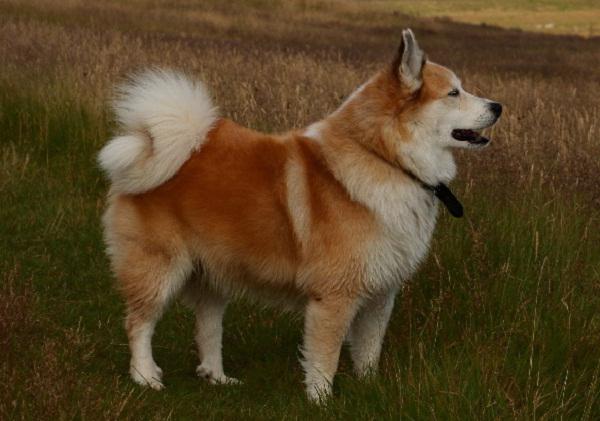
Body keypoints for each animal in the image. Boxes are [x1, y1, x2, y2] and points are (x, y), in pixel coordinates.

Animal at [98, 28, 502, 400]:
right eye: (453, 93)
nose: (497, 106)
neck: (383, 157)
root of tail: (149, 142)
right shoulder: (334, 296)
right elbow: (325, 357)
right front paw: (321, 400)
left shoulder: (379, 294)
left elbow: (369, 349)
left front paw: (368, 388)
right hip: (158, 267)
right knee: (138, 323)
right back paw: (145, 376)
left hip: (213, 274)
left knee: (208, 330)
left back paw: (218, 377)